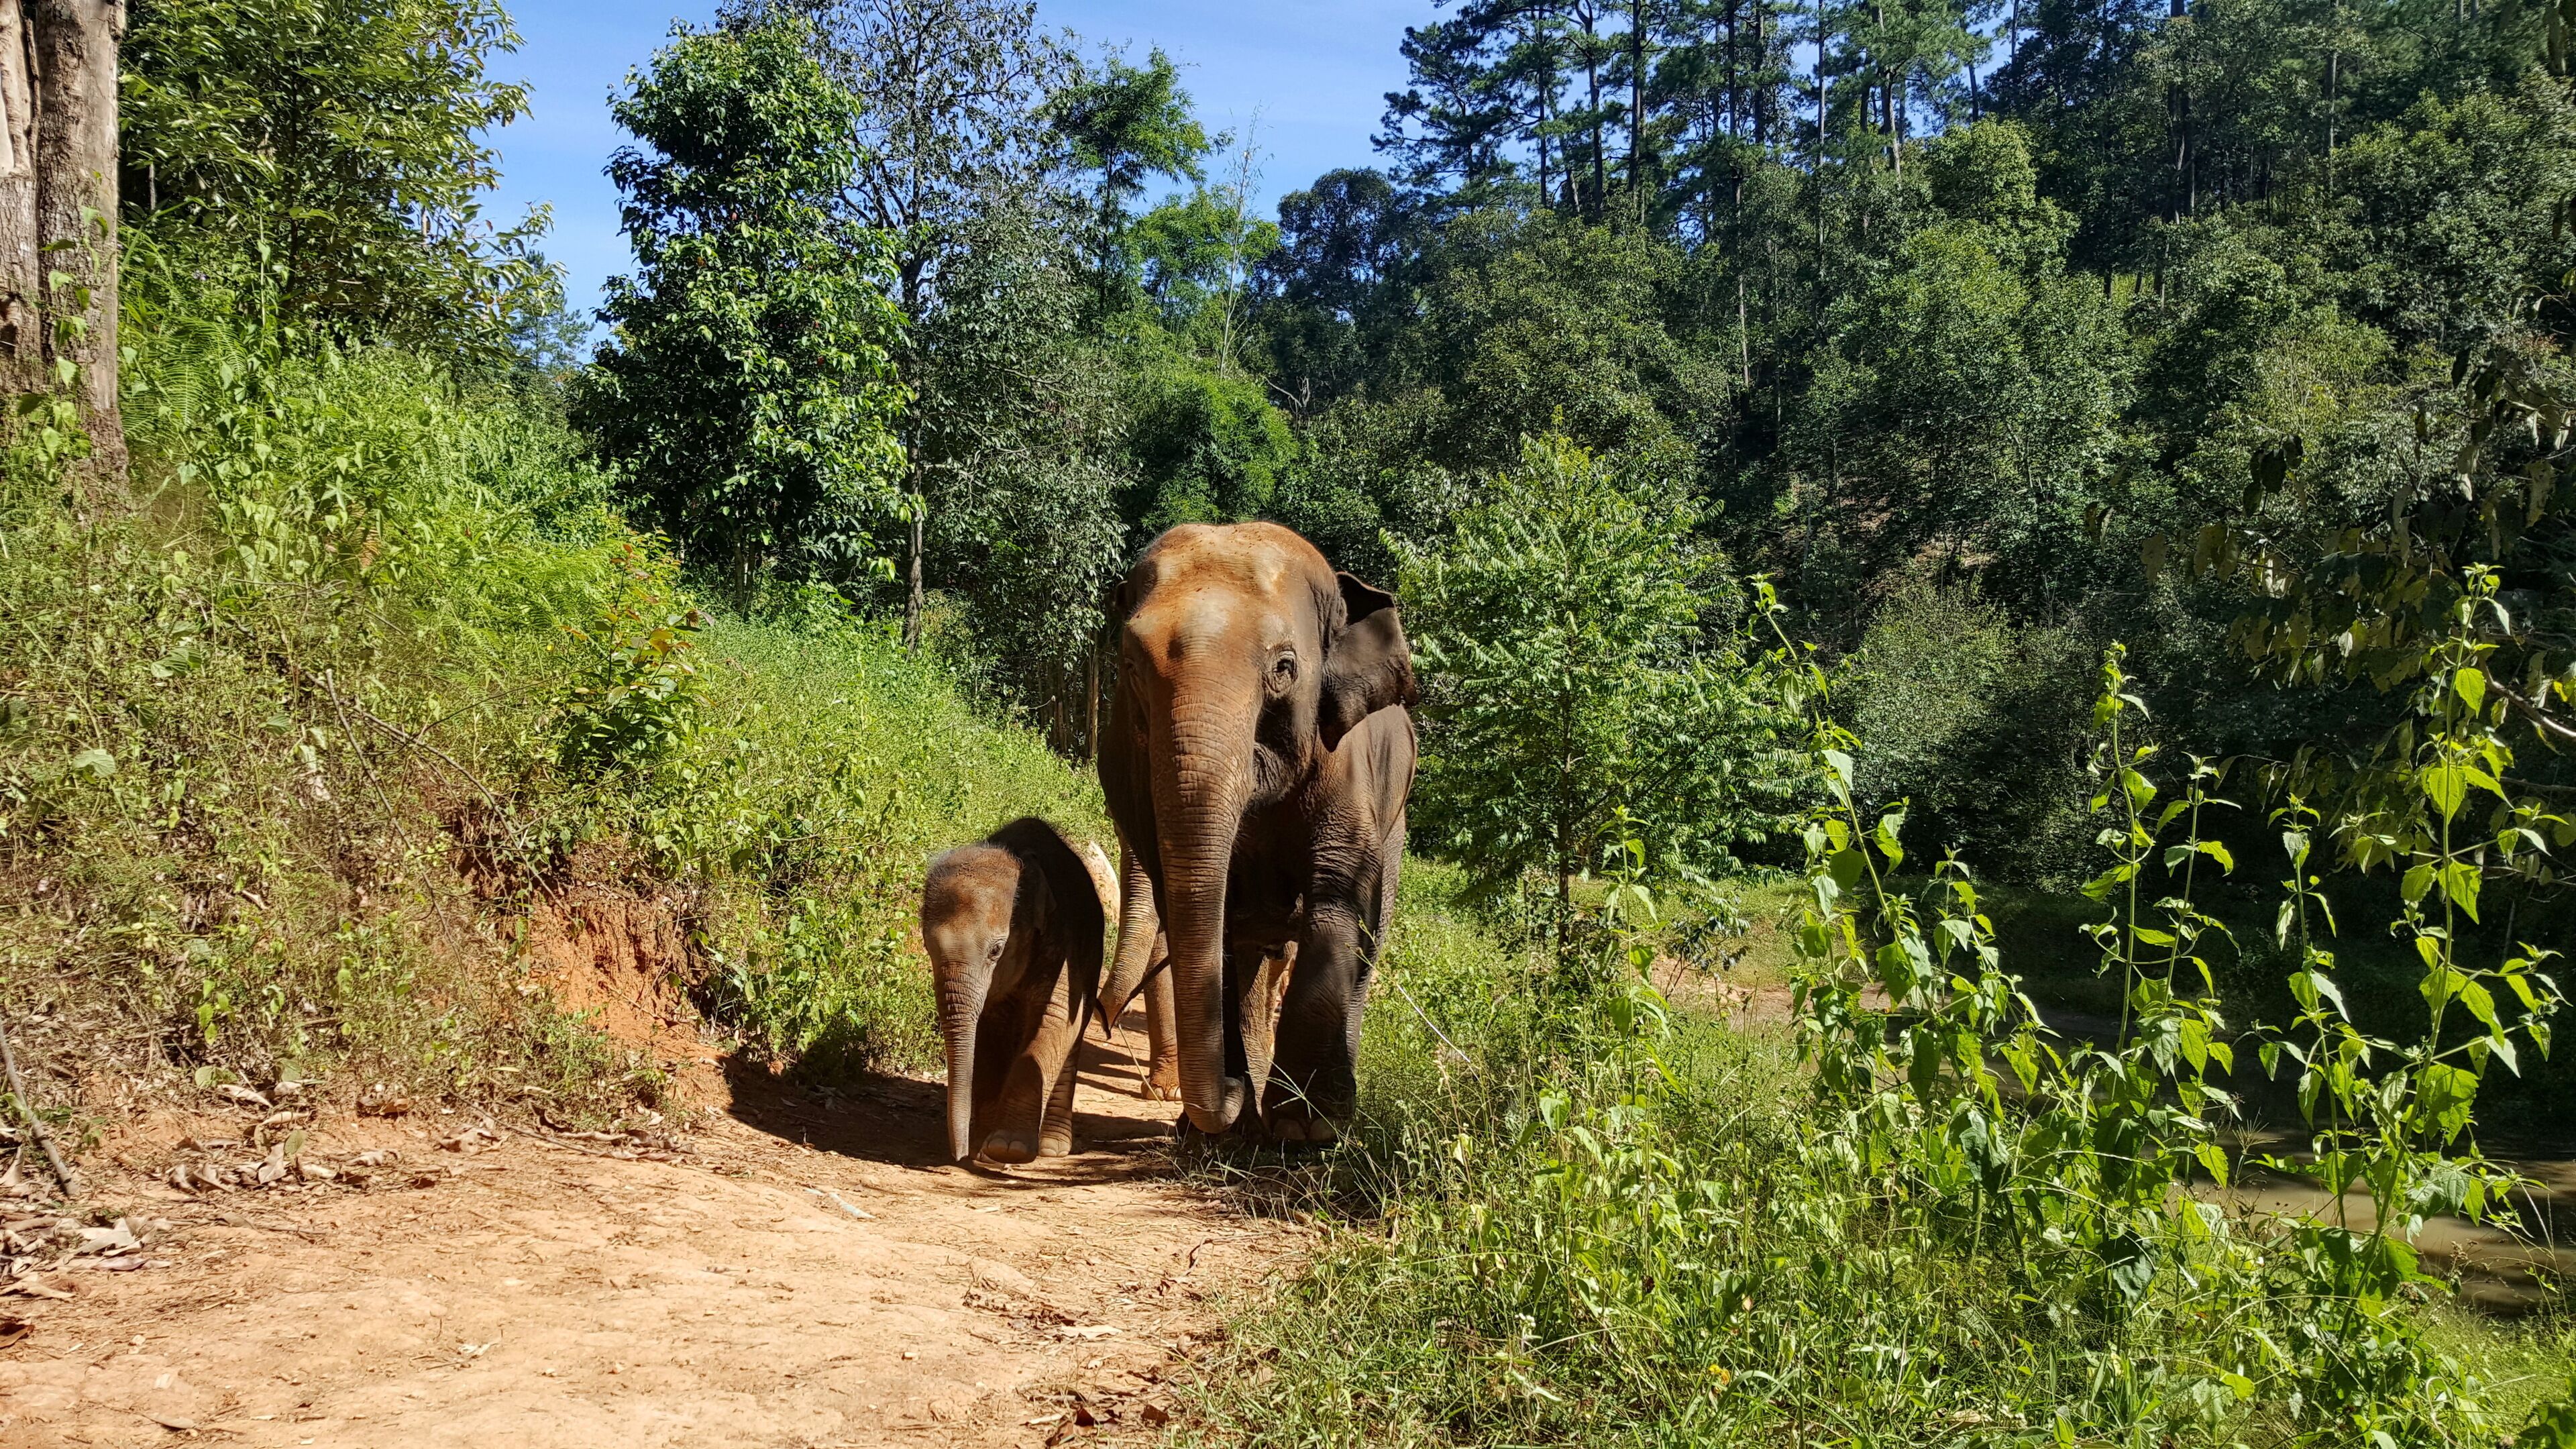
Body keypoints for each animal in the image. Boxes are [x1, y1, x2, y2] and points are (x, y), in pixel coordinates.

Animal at [920, 816, 1107, 1164]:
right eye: (927, 946)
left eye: (996, 950)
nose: (959, 1155)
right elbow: (990, 1030)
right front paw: (984, 1149)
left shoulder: (1064, 941)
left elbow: (1057, 1021)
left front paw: (1008, 1148)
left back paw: (1052, 1148)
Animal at [1096, 522, 1418, 1144]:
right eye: (1129, 665)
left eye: (1284, 667)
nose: (1228, 1089)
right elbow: (1212, 918)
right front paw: (1220, 1131)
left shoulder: (1347, 772)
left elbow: (1337, 898)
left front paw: (1301, 1128)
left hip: (1396, 822)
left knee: (1367, 942)